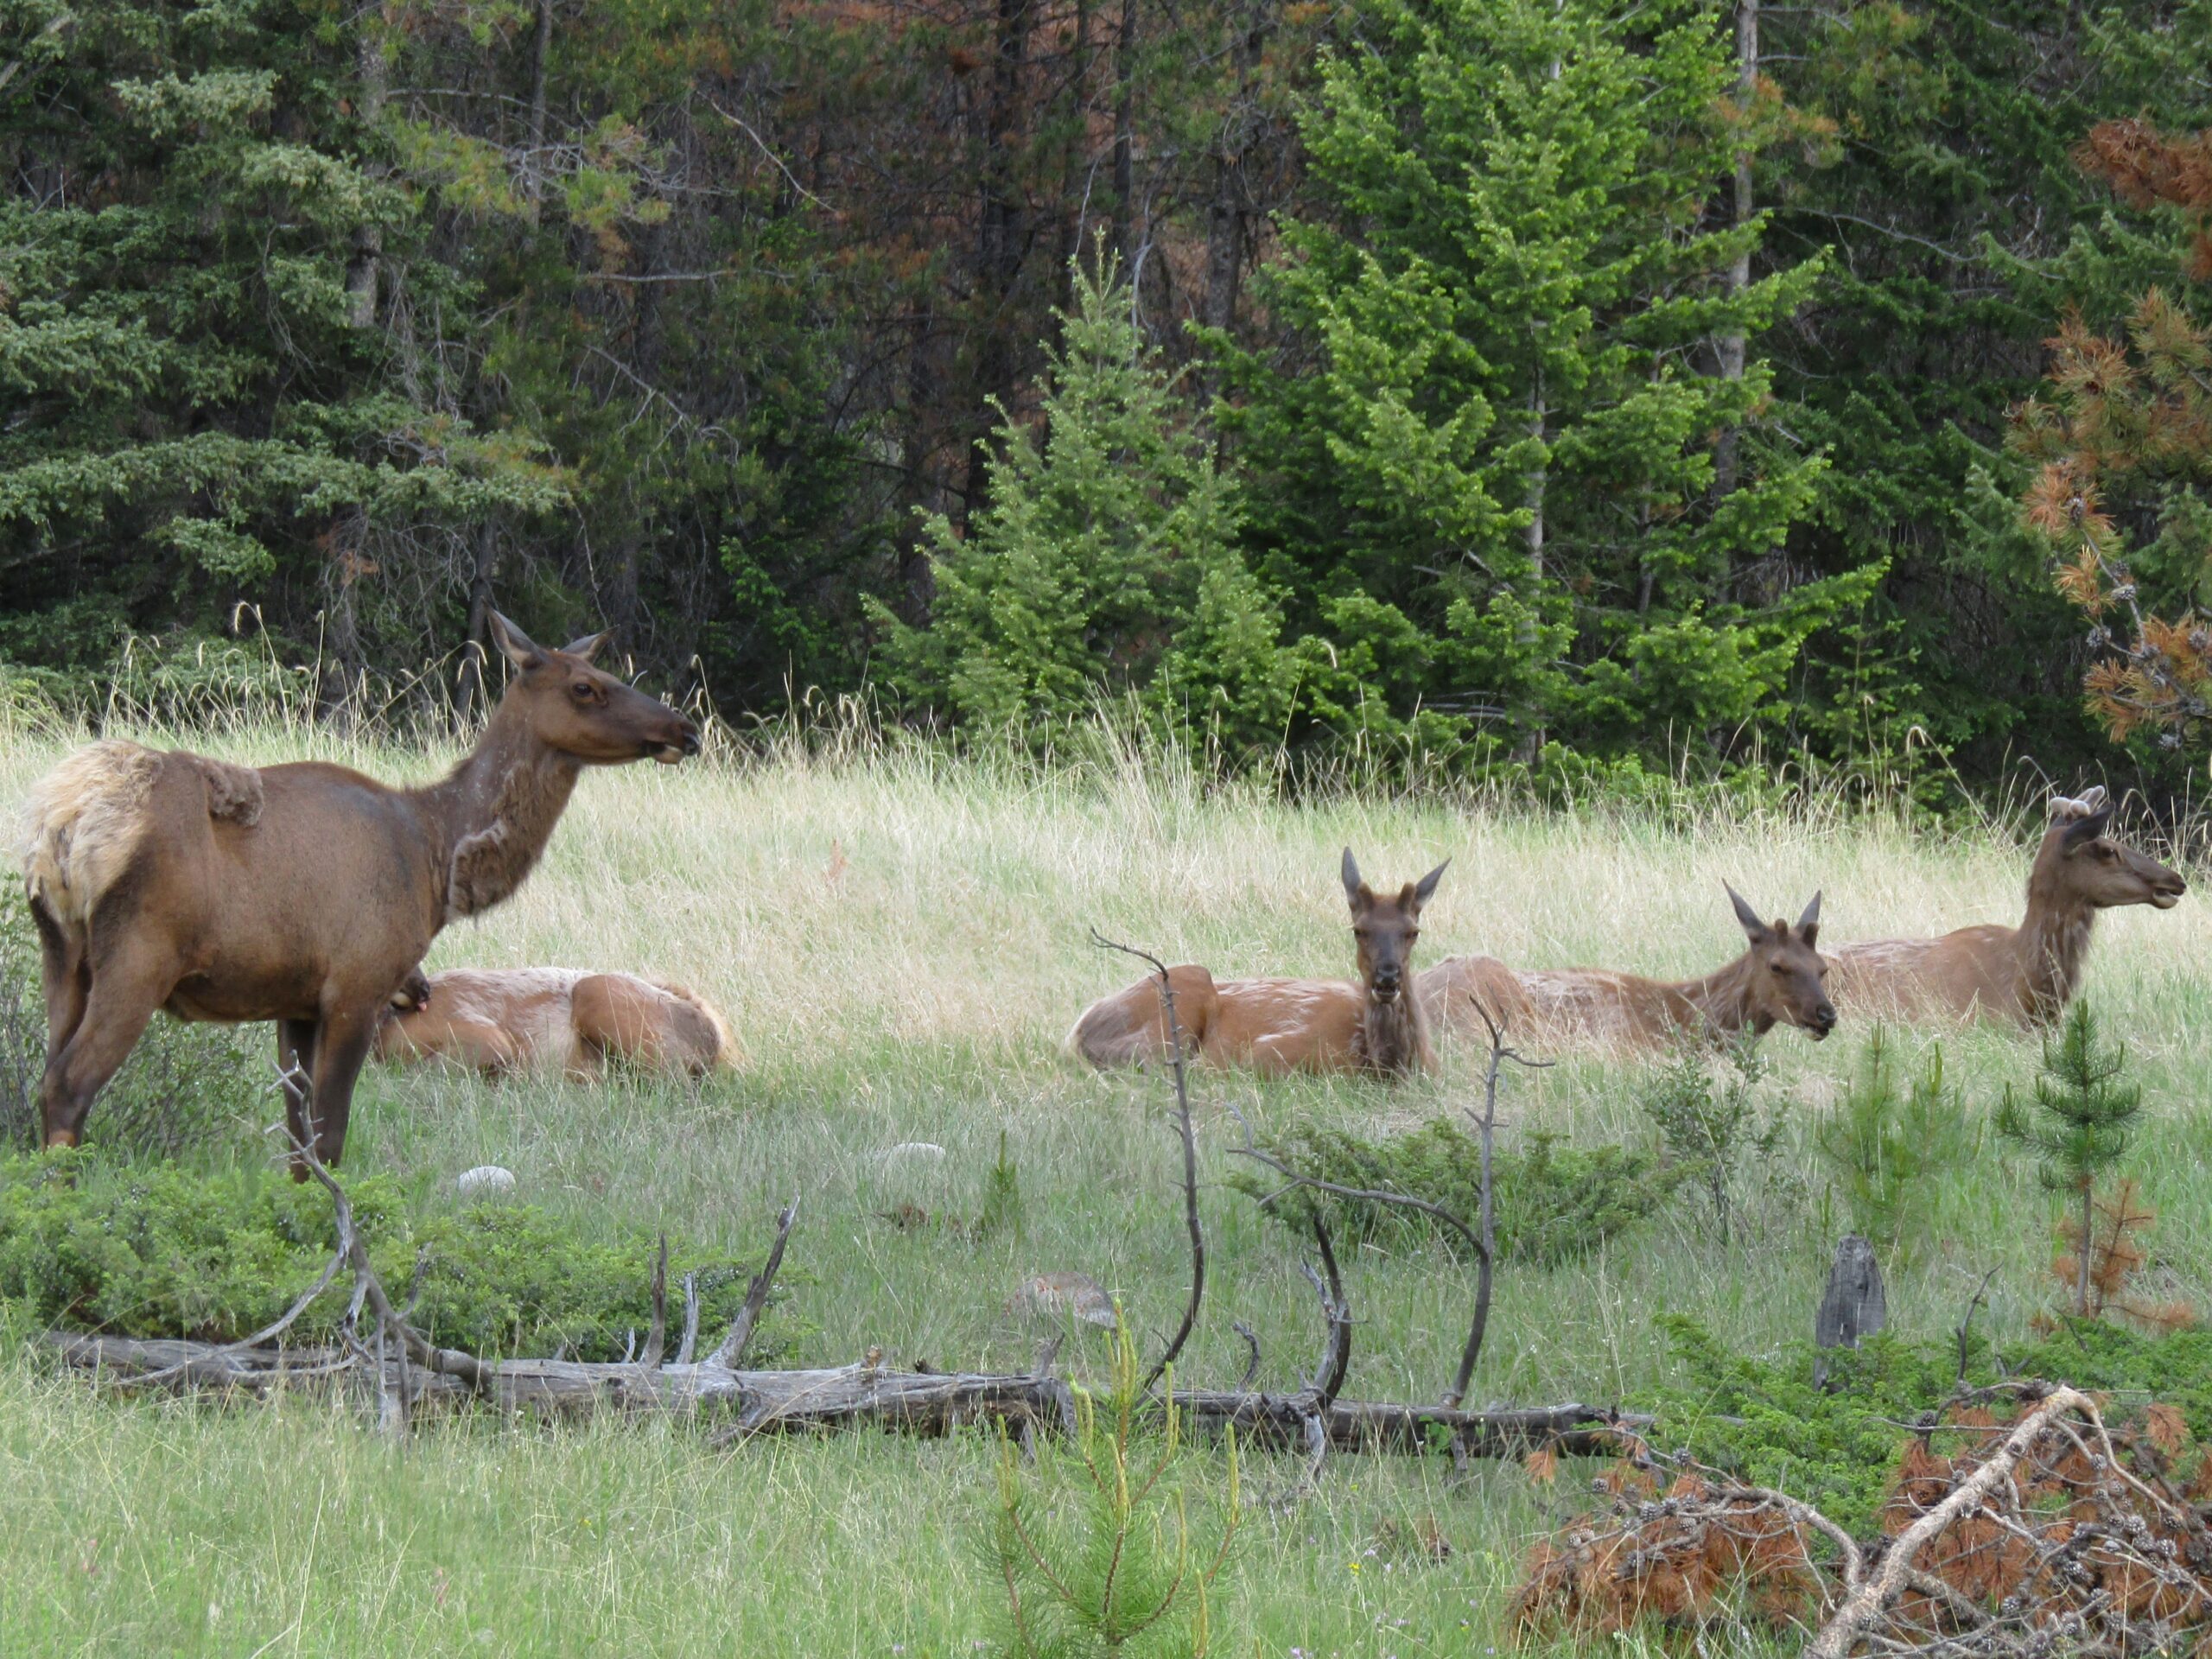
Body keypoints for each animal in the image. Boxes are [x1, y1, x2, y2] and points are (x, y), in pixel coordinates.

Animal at [13, 619, 694, 1176]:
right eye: (585, 686)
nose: (682, 726)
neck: (435, 857)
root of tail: (62, 823)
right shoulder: (358, 984)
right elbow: (330, 1135)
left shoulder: (294, 1000)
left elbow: (299, 1144)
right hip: (140, 954)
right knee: (69, 1085)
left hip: (61, 957)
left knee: (44, 1078)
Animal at [1065, 858, 1451, 1079]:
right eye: (1359, 929)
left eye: (1413, 931)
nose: (1387, 979)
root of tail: (1076, 1033)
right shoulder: (1273, 1050)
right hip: (1181, 994)